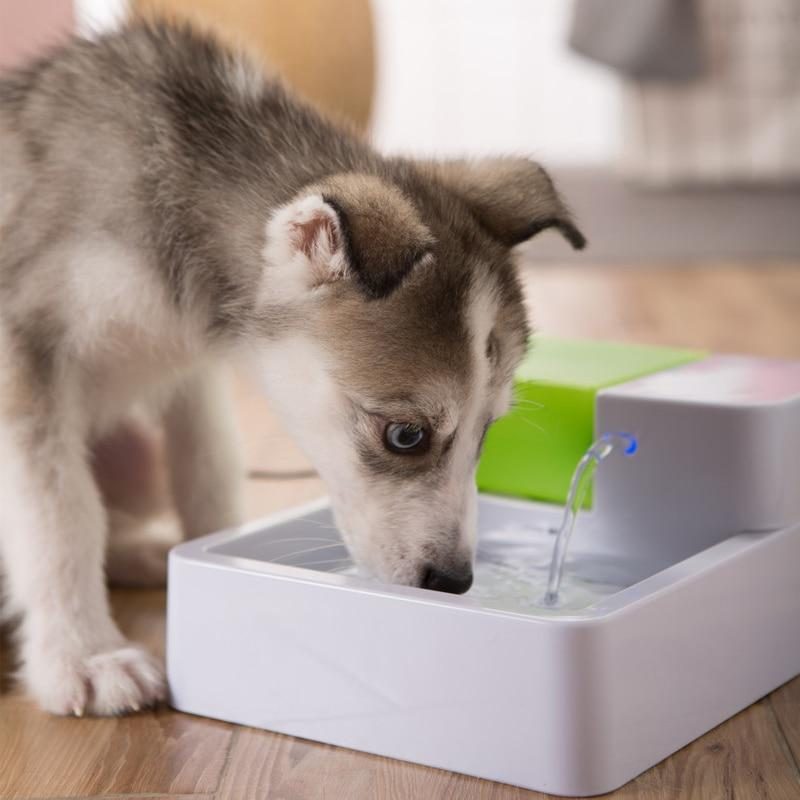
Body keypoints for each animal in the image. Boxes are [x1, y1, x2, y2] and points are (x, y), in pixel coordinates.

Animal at [0, 21, 588, 716]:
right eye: (406, 435)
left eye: (487, 430)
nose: (452, 581)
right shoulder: (26, 355)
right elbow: (59, 513)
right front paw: (84, 657)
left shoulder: (190, 373)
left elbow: (210, 471)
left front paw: (213, 556)